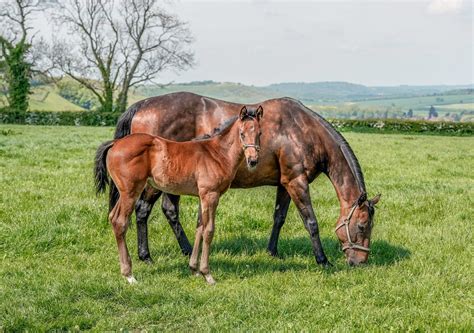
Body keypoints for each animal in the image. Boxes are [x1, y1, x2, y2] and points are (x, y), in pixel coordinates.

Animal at [92, 105, 262, 282]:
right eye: (242, 133)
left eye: (259, 133)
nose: (253, 161)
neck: (216, 153)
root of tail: (115, 143)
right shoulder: (211, 195)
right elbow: (208, 230)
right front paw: (207, 274)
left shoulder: (202, 196)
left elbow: (199, 228)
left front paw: (194, 269)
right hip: (130, 192)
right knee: (120, 222)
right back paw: (129, 275)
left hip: (125, 193)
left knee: (113, 217)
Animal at [113, 91, 380, 268]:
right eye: (362, 225)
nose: (360, 262)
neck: (301, 129)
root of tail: (142, 105)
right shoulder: (296, 181)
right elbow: (311, 221)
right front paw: (322, 260)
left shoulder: (285, 184)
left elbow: (279, 218)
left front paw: (272, 251)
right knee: (143, 209)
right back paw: (146, 256)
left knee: (168, 210)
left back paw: (186, 250)